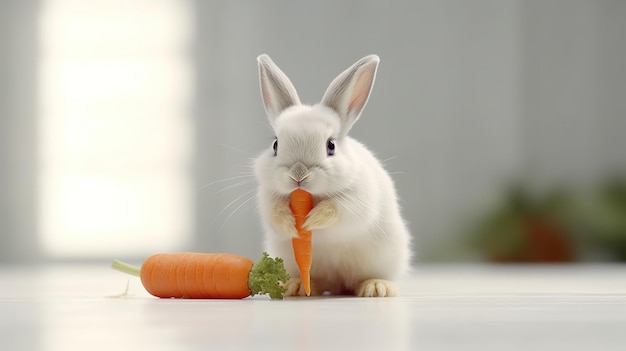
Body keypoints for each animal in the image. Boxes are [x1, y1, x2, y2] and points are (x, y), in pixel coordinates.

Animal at [254, 54, 410, 296]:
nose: (298, 175)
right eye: (275, 145)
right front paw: (291, 225)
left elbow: (336, 210)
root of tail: (339, 283)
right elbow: (275, 213)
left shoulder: (357, 200)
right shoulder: (268, 197)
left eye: (331, 146)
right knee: (316, 281)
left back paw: (376, 287)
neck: (311, 196)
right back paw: (297, 286)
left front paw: (312, 221)